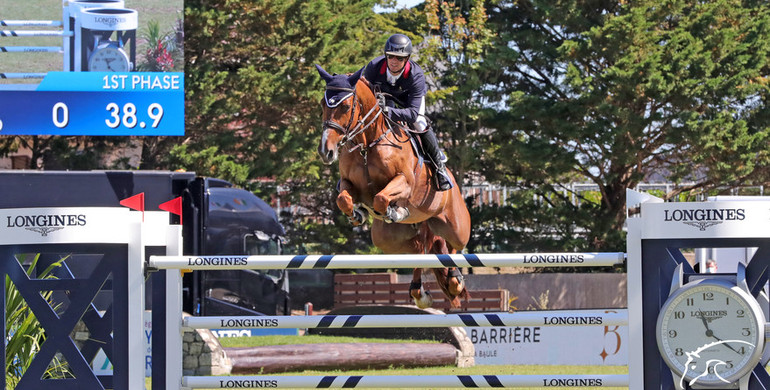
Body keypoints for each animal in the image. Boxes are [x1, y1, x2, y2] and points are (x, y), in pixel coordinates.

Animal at [316, 63, 472, 308]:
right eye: (323, 105)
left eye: (346, 106)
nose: (326, 151)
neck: (368, 143)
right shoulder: (349, 184)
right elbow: (344, 199)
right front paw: (358, 214)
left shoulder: (405, 183)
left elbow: (381, 197)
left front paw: (395, 211)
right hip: (389, 239)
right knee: (423, 249)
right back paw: (420, 292)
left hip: (456, 225)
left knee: (453, 246)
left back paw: (455, 280)